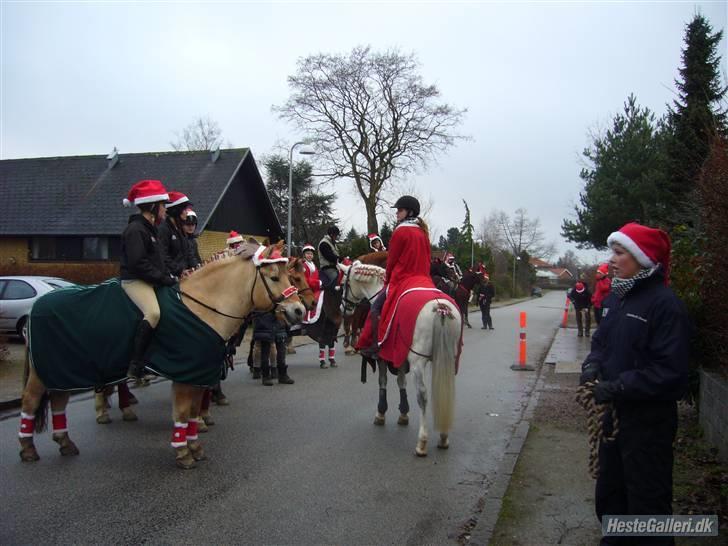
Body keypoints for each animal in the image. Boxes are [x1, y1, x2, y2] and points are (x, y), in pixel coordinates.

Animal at [19, 241, 304, 468]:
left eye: (289, 276)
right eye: (274, 277)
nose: (299, 310)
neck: (202, 307)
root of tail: (38, 304)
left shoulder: (198, 374)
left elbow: (192, 412)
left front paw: (195, 446)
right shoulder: (185, 375)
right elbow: (182, 413)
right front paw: (183, 453)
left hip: (63, 370)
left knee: (58, 401)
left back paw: (65, 442)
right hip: (43, 373)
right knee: (30, 402)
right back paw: (28, 449)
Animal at [336, 260, 460, 454]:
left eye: (343, 284)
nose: (344, 309)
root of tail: (441, 308)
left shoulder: (383, 356)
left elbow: (383, 381)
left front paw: (381, 413)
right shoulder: (399, 355)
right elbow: (401, 381)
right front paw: (403, 412)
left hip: (418, 362)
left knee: (423, 396)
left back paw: (422, 441)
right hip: (447, 359)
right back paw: (443, 436)